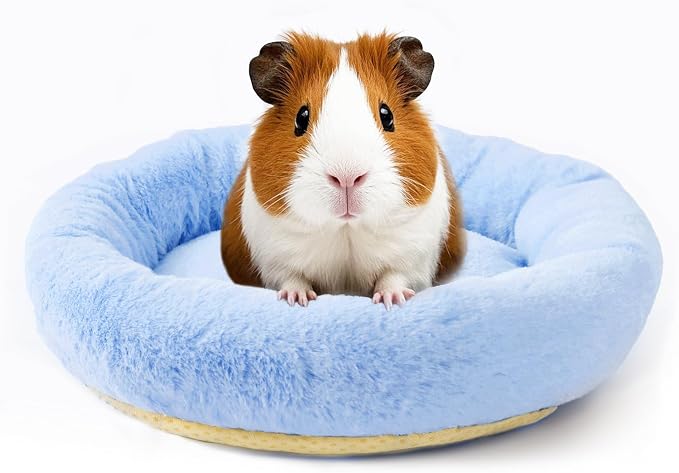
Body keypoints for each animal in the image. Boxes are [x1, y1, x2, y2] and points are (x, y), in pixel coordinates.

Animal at [221, 32, 465, 308]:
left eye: (387, 115)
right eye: (301, 117)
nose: (347, 177)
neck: (346, 230)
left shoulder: (412, 258)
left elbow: (393, 277)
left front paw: (393, 300)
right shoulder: (275, 259)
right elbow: (292, 278)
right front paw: (298, 300)